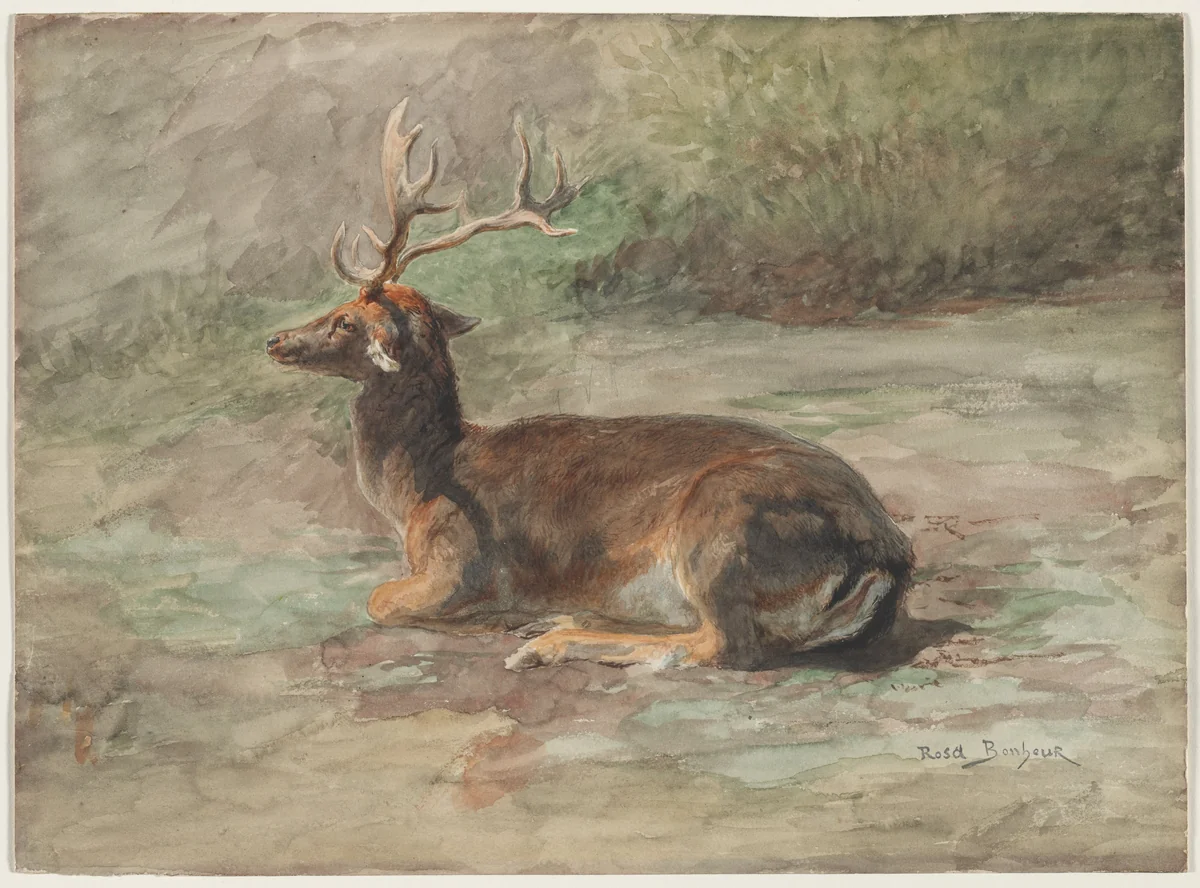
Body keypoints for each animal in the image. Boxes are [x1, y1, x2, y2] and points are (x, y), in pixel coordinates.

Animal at [266, 99, 914, 672]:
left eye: (346, 319)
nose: (275, 340)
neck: (419, 488)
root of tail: (889, 552)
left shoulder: (457, 562)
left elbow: (377, 599)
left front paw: (505, 618)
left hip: (719, 531)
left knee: (722, 645)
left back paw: (546, 642)